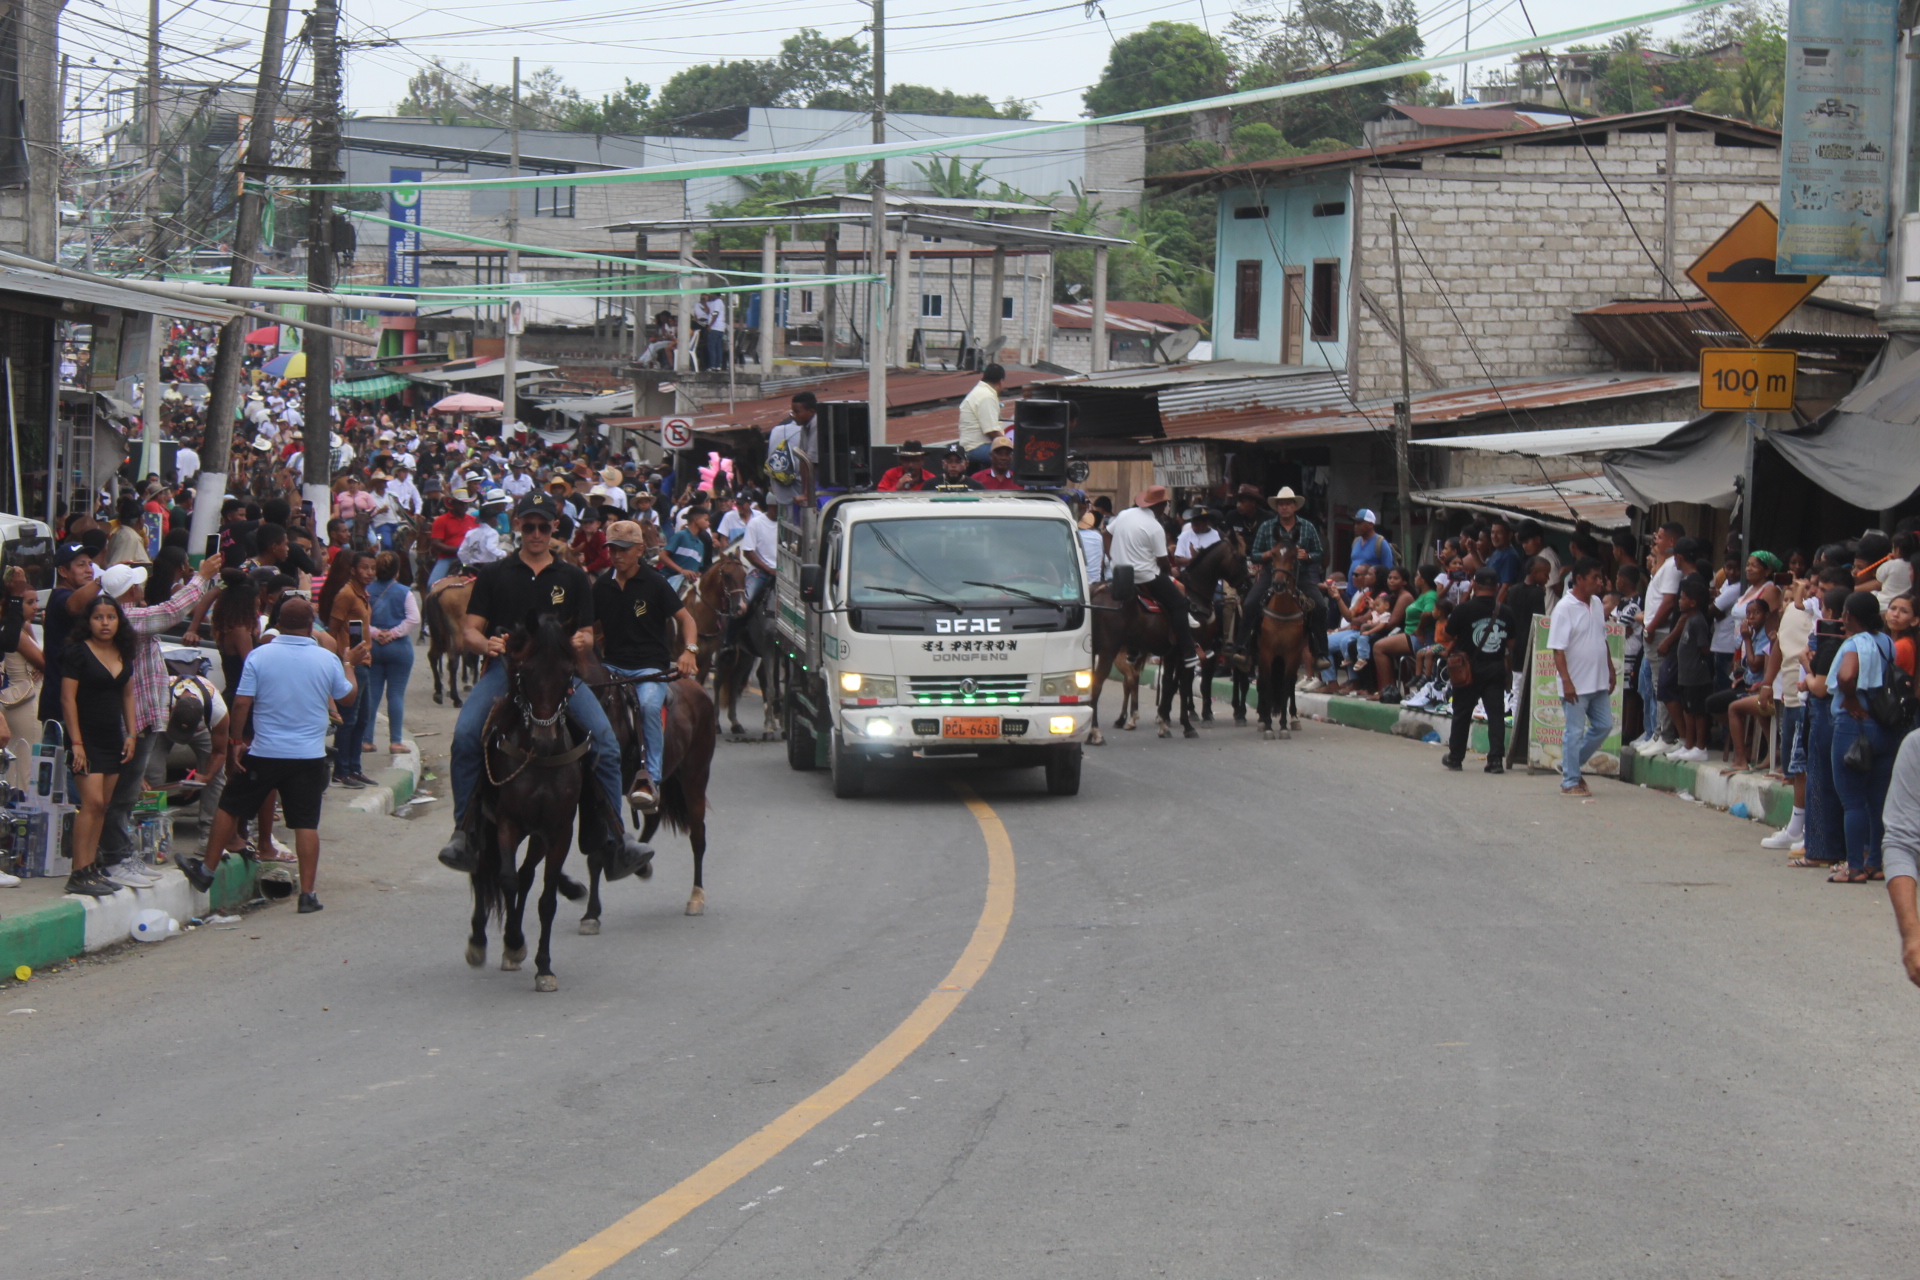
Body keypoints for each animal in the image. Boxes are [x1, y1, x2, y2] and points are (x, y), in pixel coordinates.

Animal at [465, 611, 589, 993]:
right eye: (527, 672)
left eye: (568, 673)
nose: (543, 740)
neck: (540, 762)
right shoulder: (508, 822)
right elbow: (505, 879)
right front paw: (514, 941)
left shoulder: (558, 830)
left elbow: (546, 899)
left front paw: (543, 966)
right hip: (485, 825)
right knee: (482, 870)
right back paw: (480, 941)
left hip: (537, 836)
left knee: (525, 875)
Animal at [576, 654, 718, 928]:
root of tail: (698, 689)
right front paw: (590, 912)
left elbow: (596, 852)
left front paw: (591, 913)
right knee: (653, 818)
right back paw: (638, 862)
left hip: (695, 777)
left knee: (698, 836)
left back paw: (696, 897)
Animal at [1255, 539, 1313, 741]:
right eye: (1272, 554)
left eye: (1294, 557)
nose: (1279, 584)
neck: (1282, 611)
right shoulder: (1265, 653)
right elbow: (1267, 684)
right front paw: (1267, 725)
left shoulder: (1293, 654)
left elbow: (1287, 686)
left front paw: (1283, 725)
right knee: (1263, 683)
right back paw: (1262, 717)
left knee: (1289, 684)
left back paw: (1294, 717)